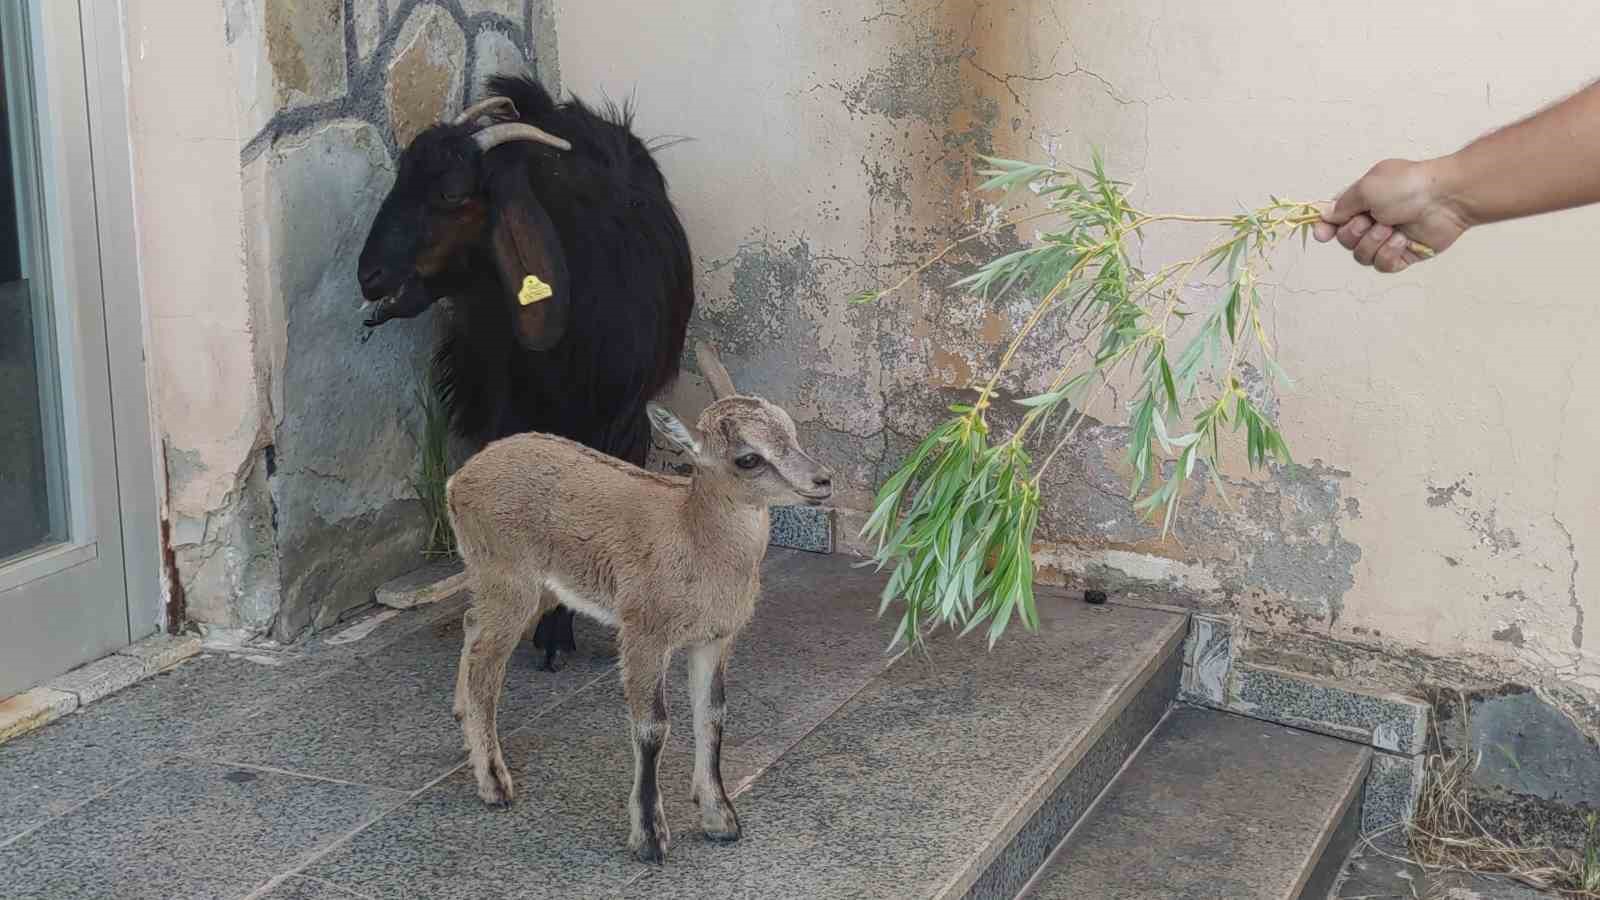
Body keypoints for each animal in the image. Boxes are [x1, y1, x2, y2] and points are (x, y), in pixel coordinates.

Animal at [361, 75, 694, 666]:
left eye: (452, 193)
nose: (368, 274)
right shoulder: (508, 409)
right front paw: (543, 626)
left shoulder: (619, 417)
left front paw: (566, 628)